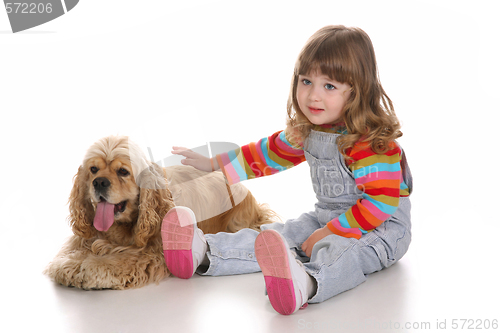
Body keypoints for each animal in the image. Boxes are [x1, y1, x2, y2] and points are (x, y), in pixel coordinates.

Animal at [44, 135, 276, 288]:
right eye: (93, 169)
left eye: (123, 172)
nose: (99, 182)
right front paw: (67, 263)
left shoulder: (149, 254)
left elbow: (112, 261)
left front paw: (84, 267)